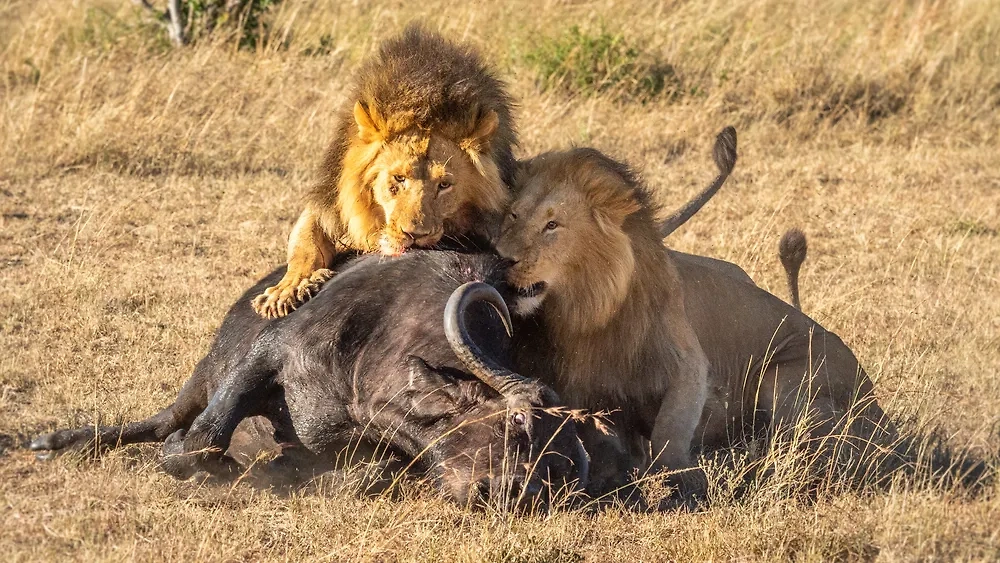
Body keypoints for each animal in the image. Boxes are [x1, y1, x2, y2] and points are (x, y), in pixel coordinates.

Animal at [250, 26, 516, 320]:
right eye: (398, 178)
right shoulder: (327, 202)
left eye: (444, 185)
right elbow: (304, 244)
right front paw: (286, 290)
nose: (415, 235)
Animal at [496, 134, 896, 504]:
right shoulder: (583, 384)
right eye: (514, 216)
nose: (501, 258)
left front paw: (684, 481)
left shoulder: (686, 362)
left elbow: (667, 433)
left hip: (784, 377)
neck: (587, 307)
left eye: (552, 225)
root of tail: (879, 409)